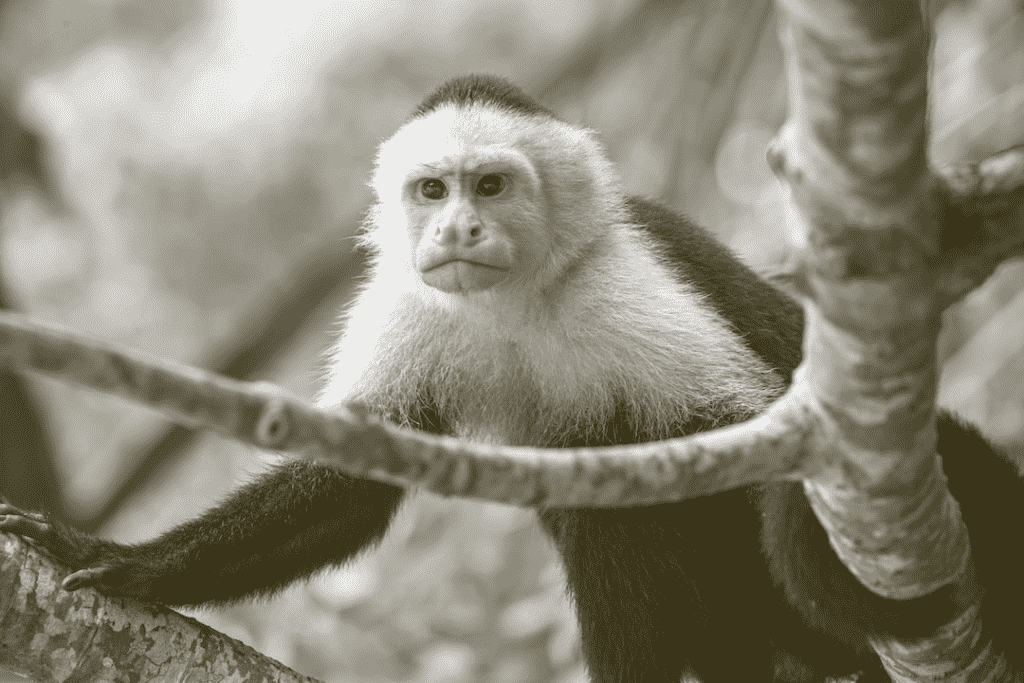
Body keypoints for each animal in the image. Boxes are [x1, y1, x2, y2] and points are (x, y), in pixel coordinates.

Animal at [2, 74, 1024, 683]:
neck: (517, 300)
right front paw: (124, 561)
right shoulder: (404, 301)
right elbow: (351, 481)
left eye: (490, 186)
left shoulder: (628, 280)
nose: (456, 229)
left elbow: (755, 438)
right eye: (432, 191)